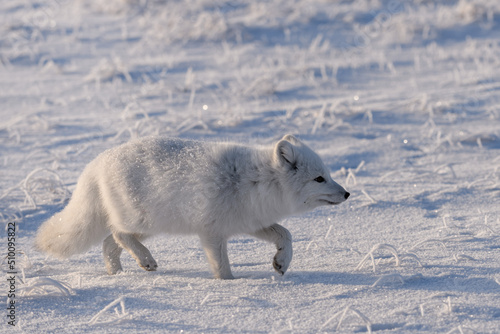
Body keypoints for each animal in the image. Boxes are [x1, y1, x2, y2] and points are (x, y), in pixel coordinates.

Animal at [35, 134, 350, 278]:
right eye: (319, 178)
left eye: (328, 174)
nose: (347, 193)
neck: (255, 181)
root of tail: (98, 162)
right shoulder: (211, 233)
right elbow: (222, 268)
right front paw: (230, 285)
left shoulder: (250, 223)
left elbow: (285, 234)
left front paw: (282, 262)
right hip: (141, 221)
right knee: (117, 235)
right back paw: (146, 260)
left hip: (149, 224)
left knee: (108, 244)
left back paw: (119, 275)